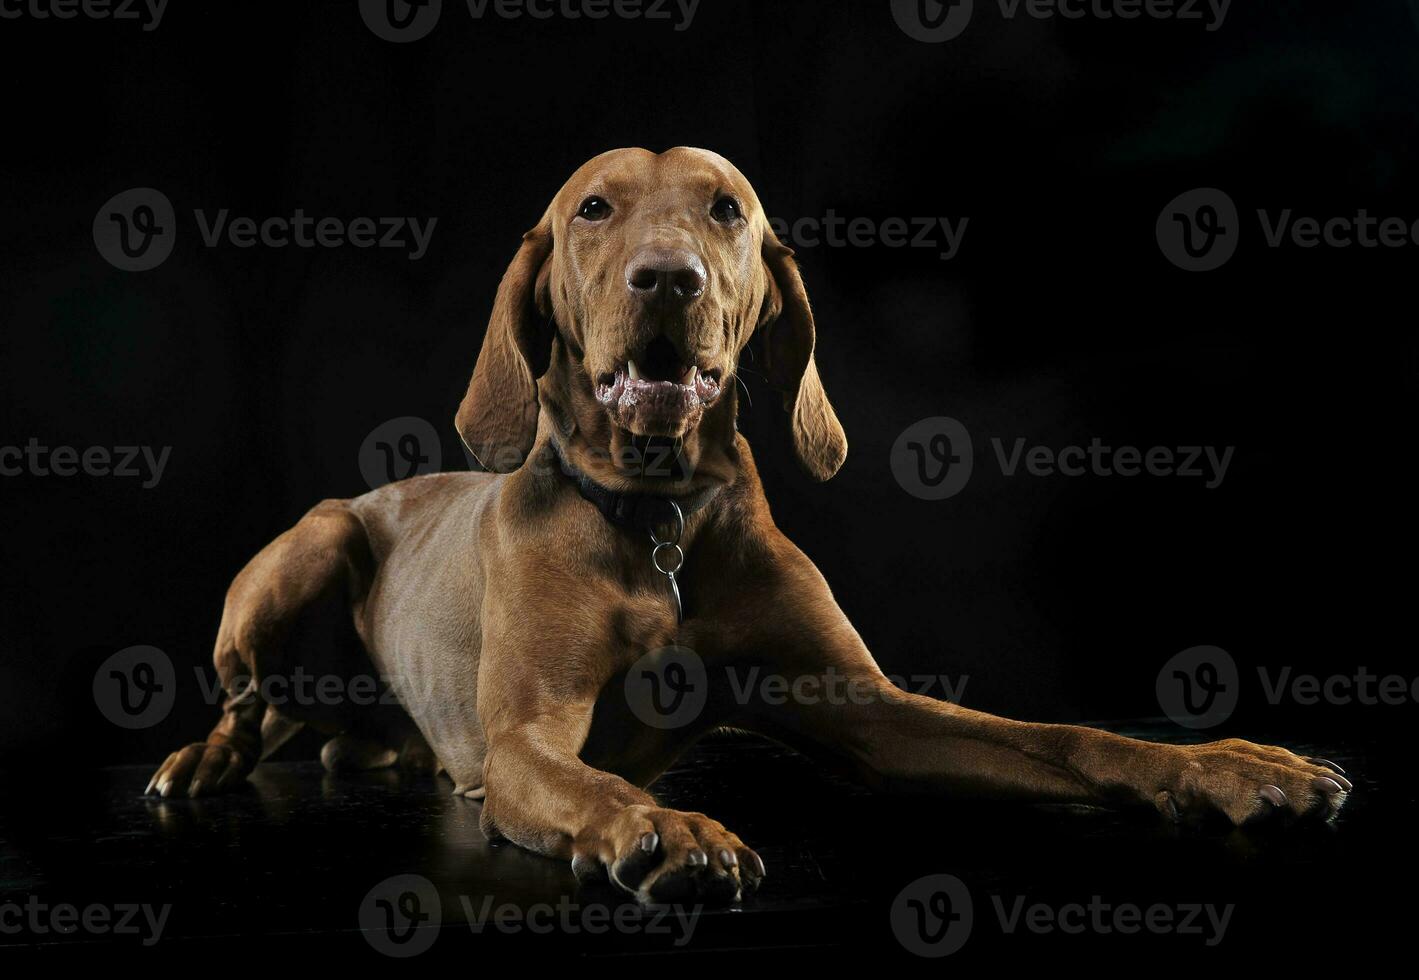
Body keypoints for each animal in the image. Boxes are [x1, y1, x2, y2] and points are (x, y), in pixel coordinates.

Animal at [149, 145, 1356, 901]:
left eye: (724, 208)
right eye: (593, 209)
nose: (667, 278)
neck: (658, 522)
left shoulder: (875, 714)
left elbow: (1072, 737)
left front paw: (1234, 765)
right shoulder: (526, 740)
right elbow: (597, 780)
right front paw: (670, 830)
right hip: (310, 543)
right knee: (250, 704)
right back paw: (202, 758)